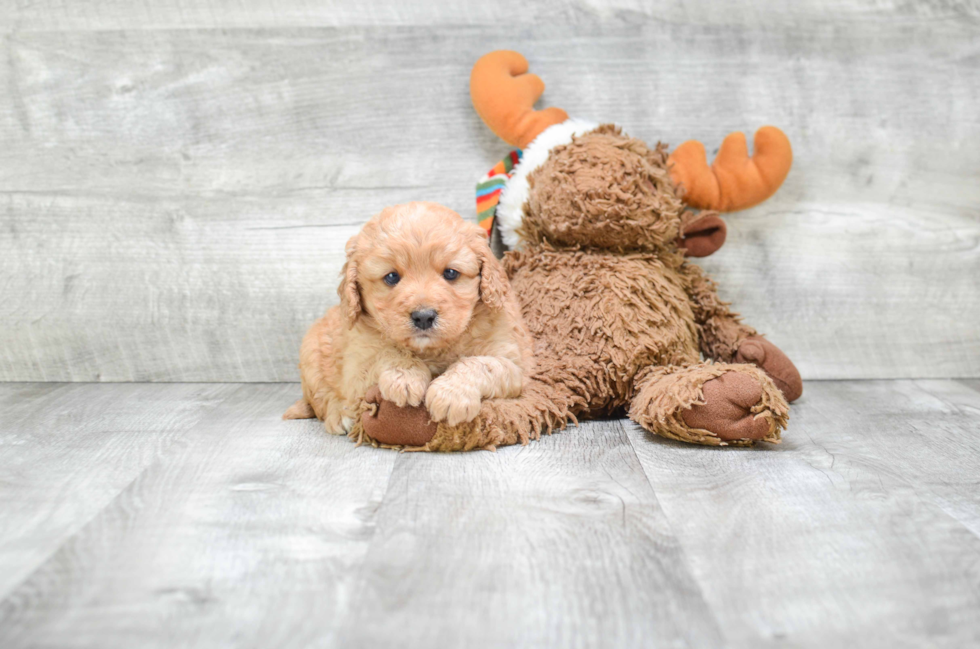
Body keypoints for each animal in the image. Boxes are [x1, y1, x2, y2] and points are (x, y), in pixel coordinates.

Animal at [284, 201, 532, 436]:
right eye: (392, 277)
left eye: (451, 273)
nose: (423, 317)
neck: (432, 350)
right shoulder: (357, 367)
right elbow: (387, 353)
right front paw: (405, 377)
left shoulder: (513, 363)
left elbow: (480, 364)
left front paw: (451, 394)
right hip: (312, 354)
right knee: (321, 399)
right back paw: (340, 415)